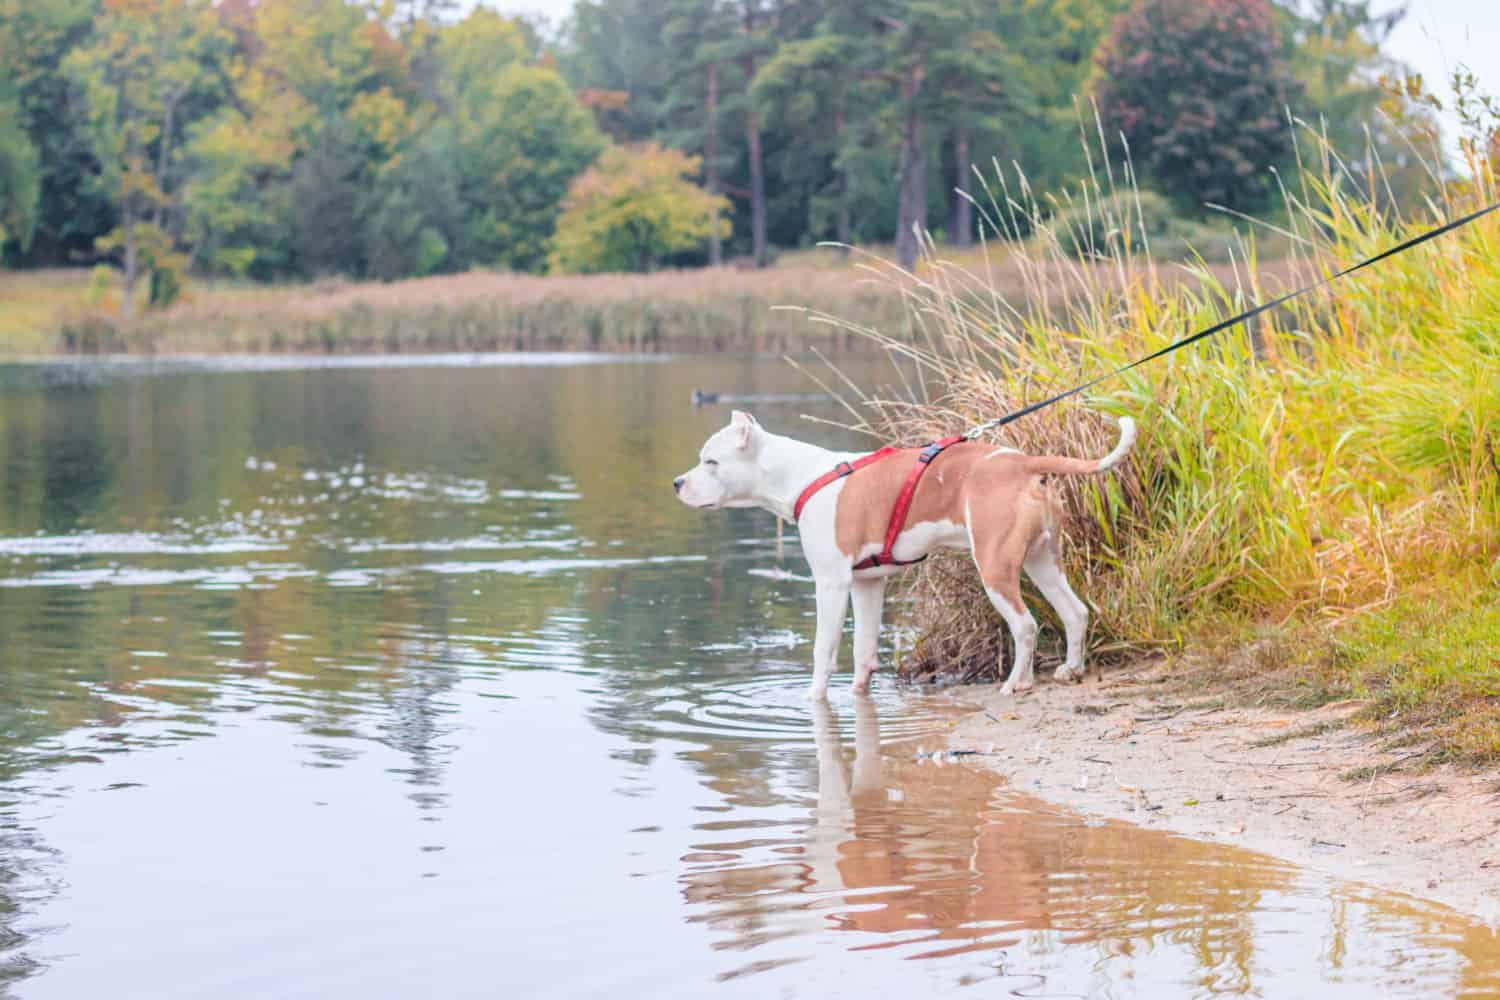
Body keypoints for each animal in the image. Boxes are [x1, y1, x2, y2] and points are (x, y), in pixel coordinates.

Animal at [675, 410, 1128, 701]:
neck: (799, 476)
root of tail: (1021, 463)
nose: (678, 482)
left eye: (711, 461)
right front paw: (858, 693)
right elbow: (863, 651)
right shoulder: (867, 583)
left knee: (1025, 625)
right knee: (1075, 612)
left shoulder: (832, 583)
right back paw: (1070, 669)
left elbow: (824, 650)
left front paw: (814, 699)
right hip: (1041, 561)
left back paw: (1016, 683)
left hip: (996, 567)